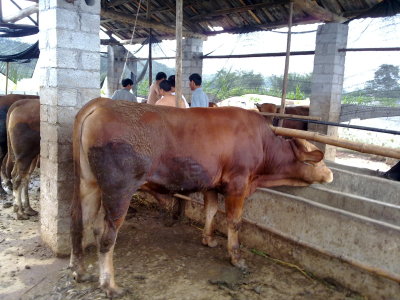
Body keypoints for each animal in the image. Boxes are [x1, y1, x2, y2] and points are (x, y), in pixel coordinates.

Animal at [70, 98, 332, 298]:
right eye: (318, 161)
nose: (330, 174)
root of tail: (101, 103)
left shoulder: (212, 184)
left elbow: (211, 210)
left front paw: (208, 239)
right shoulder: (238, 184)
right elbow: (234, 221)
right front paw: (236, 257)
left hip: (88, 183)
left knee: (79, 221)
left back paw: (79, 271)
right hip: (119, 189)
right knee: (107, 235)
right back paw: (110, 285)